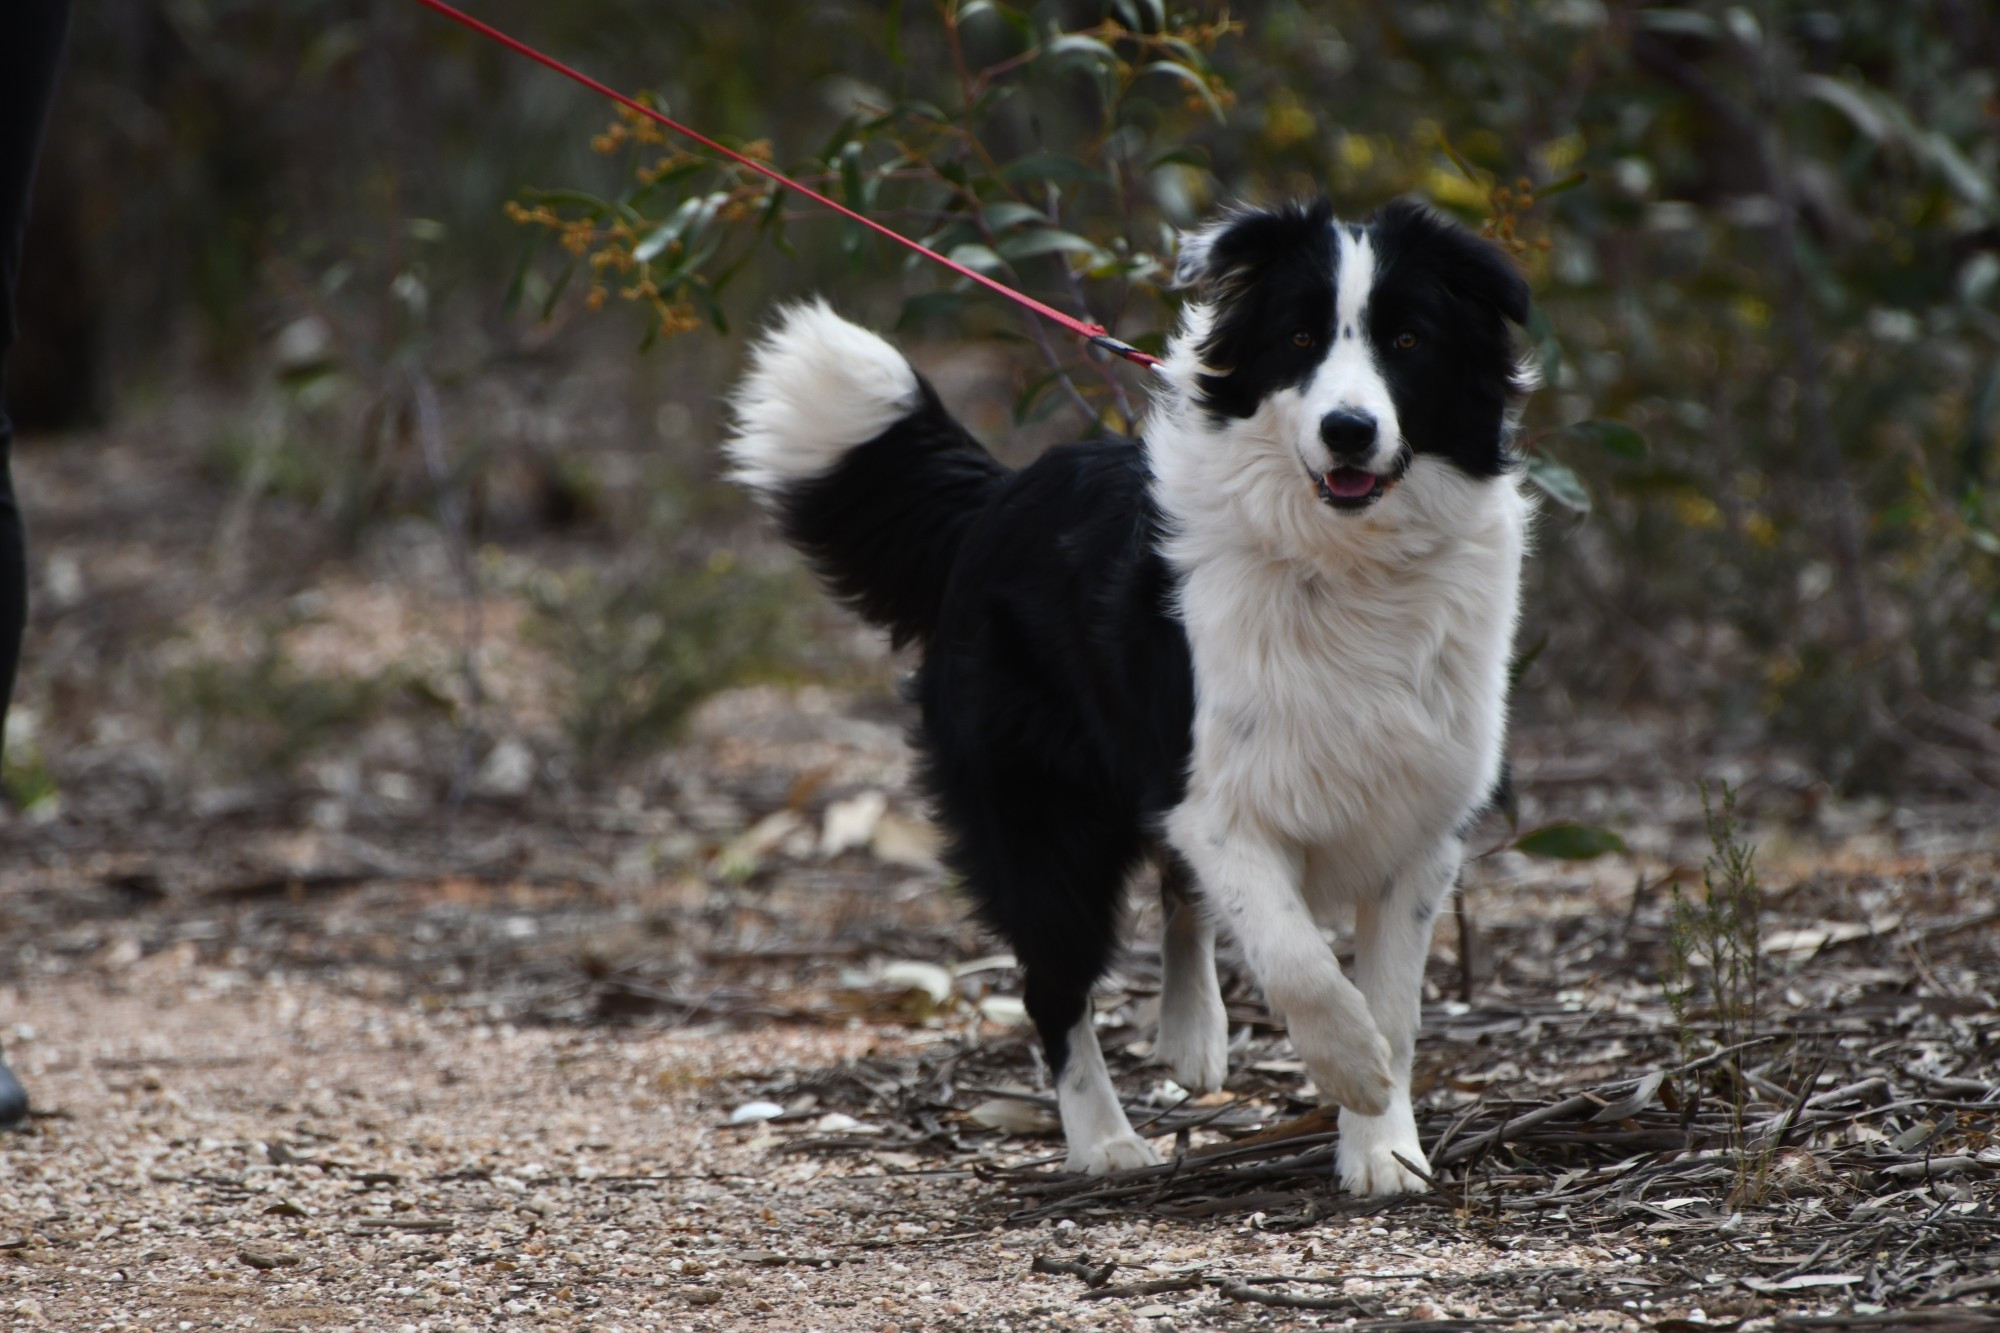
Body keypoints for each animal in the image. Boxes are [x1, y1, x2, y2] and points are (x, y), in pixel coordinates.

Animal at [732, 197, 1528, 1192]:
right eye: (1300, 337)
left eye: (1410, 339)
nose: (1349, 429)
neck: (1345, 561)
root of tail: (1000, 494)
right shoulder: (1214, 793)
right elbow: (1299, 958)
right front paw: (1352, 1068)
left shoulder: (1417, 820)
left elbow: (1392, 1002)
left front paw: (1385, 1148)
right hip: (1044, 815)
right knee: (1054, 983)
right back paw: (1104, 1140)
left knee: (1176, 898)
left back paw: (1193, 1034)